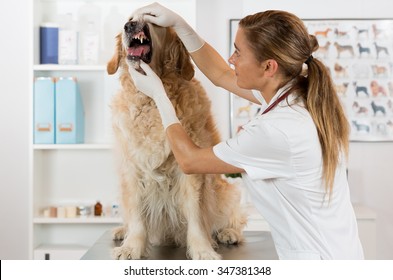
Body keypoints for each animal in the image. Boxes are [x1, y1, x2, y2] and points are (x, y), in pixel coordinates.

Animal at [105, 17, 243, 260]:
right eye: (130, 19)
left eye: (149, 19)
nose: (130, 25)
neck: (151, 100)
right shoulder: (132, 168)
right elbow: (137, 214)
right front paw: (132, 247)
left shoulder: (189, 168)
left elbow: (196, 215)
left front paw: (203, 250)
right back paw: (122, 230)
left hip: (227, 191)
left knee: (232, 217)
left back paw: (228, 232)